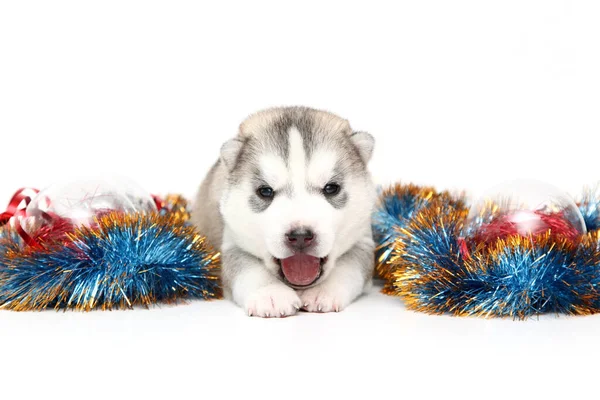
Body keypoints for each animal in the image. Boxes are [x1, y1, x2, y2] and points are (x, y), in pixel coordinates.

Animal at [192, 106, 376, 318]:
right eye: (265, 191)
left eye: (331, 188)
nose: (301, 236)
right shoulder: (232, 243)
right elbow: (249, 269)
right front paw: (270, 294)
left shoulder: (363, 240)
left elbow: (349, 266)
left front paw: (323, 292)